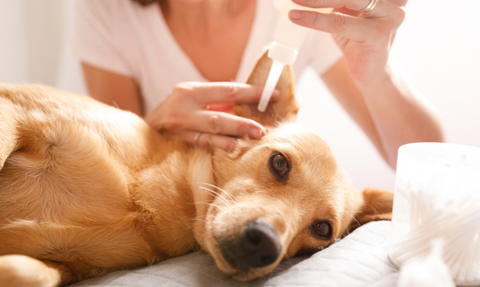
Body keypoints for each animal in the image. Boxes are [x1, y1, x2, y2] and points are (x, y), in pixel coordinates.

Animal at [0, 51, 392, 286]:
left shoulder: (70, 267)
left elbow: (29, 271)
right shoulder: (12, 111)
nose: (264, 245)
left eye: (322, 229)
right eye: (279, 162)